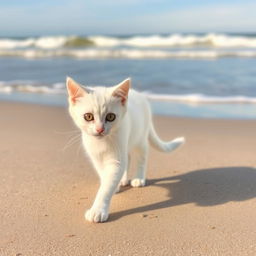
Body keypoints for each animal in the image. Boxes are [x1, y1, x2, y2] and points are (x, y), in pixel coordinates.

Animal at [66, 76, 184, 222]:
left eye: (111, 117)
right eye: (88, 116)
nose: (100, 129)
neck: (102, 143)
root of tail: (139, 94)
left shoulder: (116, 157)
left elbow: (107, 184)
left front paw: (98, 210)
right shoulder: (96, 157)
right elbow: (103, 173)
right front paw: (112, 183)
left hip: (140, 138)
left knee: (141, 157)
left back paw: (139, 178)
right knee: (128, 157)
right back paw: (122, 180)